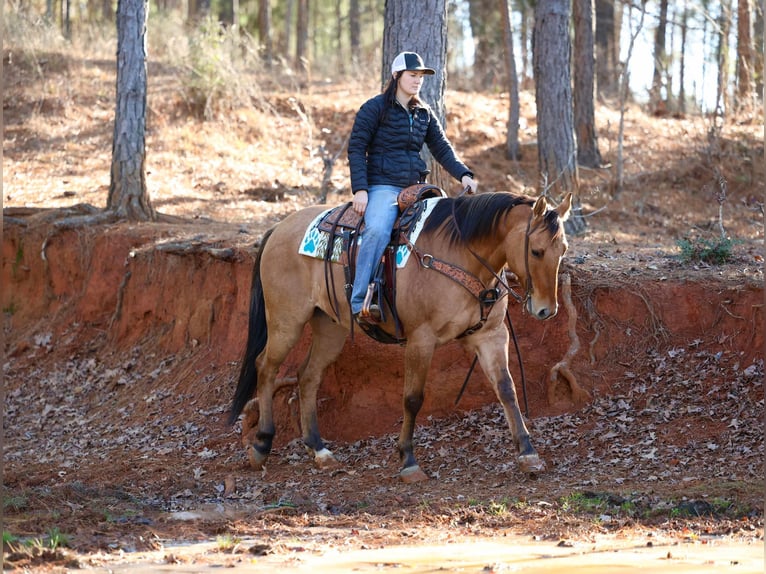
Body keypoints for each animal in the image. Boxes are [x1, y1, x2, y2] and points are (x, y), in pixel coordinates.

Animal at [231, 191, 572, 484]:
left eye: (563, 250)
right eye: (536, 251)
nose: (546, 310)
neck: (462, 254)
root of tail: (279, 228)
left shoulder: (491, 336)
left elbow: (506, 389)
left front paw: (528, 453)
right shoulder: (421, 339)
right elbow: (412, 398)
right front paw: (408, 460)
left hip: (330, 327)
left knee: (308, 375)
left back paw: (319, 449)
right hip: (286, 321)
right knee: (265, 368)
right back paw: (261, 445)